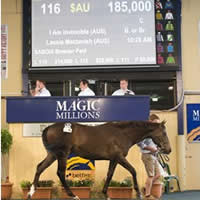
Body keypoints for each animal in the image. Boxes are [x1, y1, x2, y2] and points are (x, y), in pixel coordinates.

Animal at [27, 120, 171, 200]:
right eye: (164, 133)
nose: (168, 150)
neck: (122, 133)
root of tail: (48, 128)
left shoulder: (114, 159)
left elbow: (110, 174)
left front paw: (106, 194)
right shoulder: (119, 157)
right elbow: (133, 171)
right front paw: (139, 194)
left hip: (52, 155)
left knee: (40, 167)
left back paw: (31, 192)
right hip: (62, 154)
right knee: (60, 173)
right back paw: (74, 195)